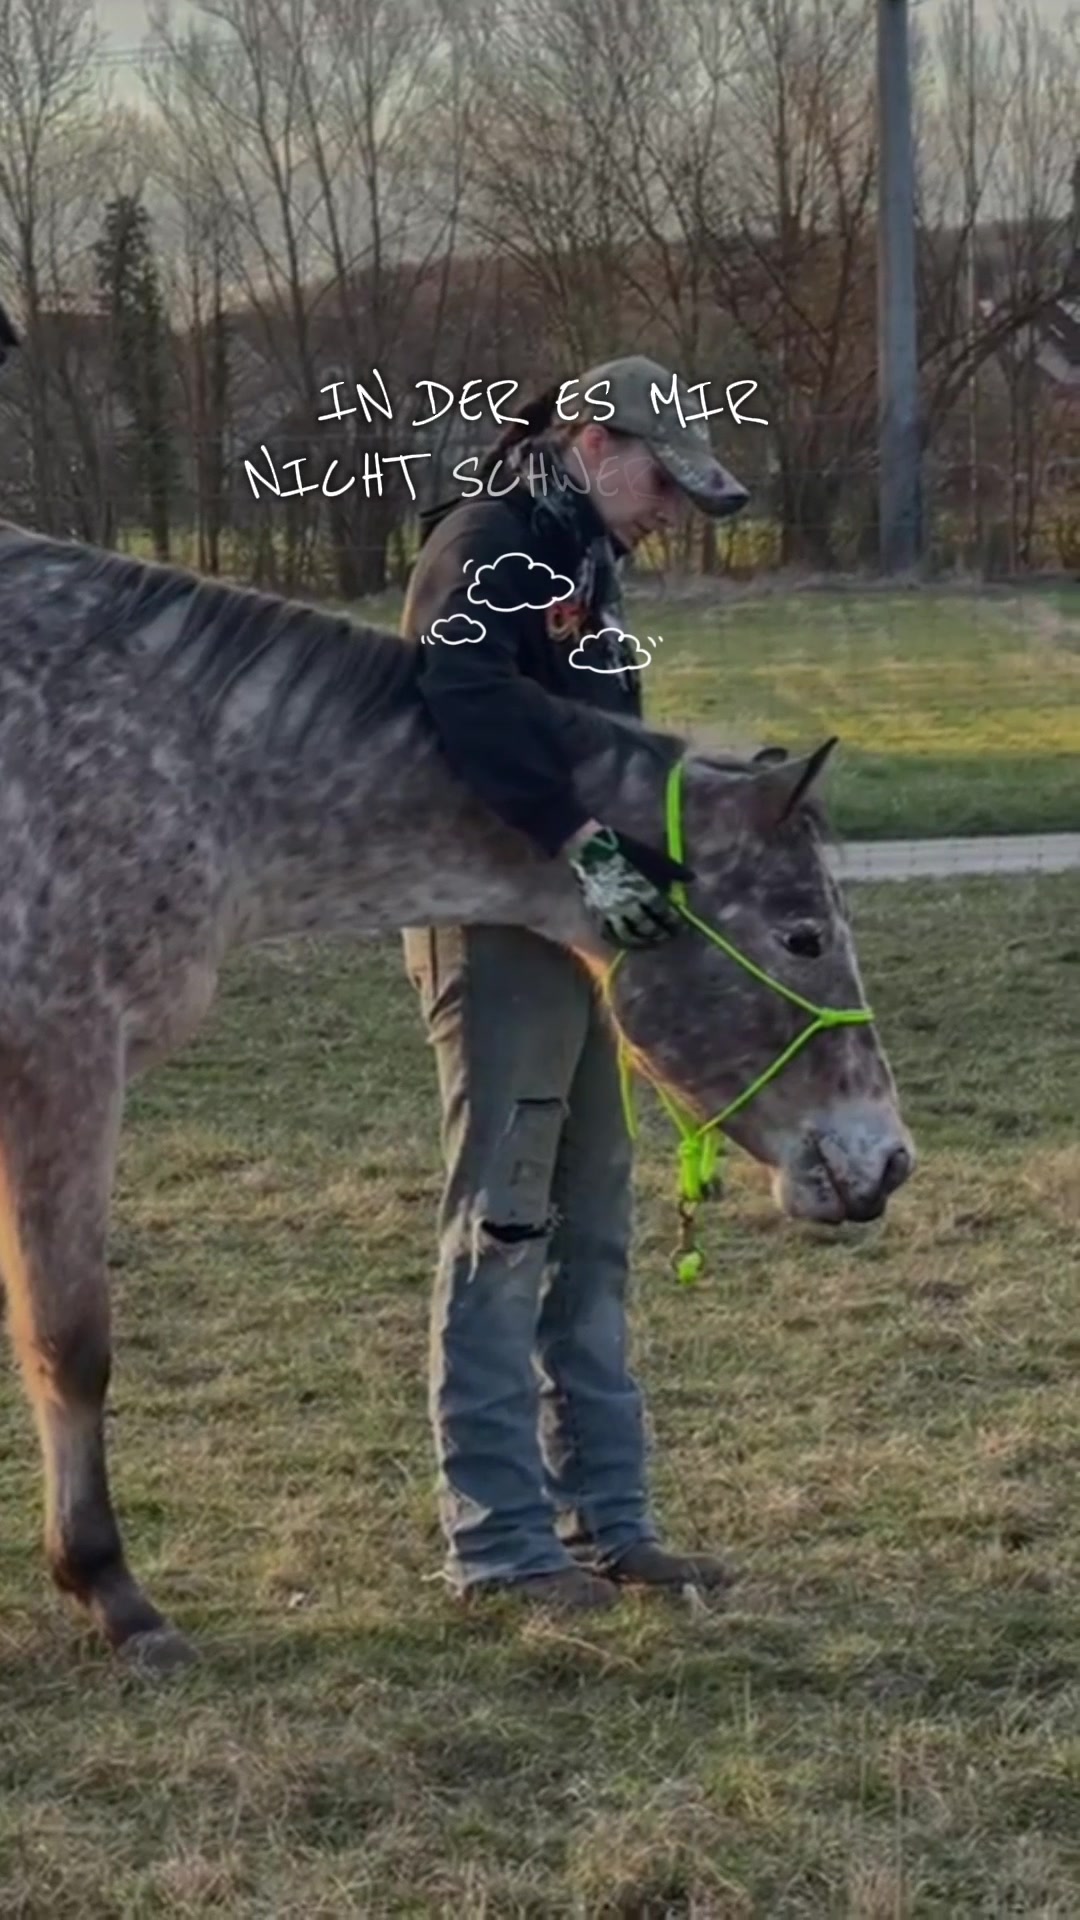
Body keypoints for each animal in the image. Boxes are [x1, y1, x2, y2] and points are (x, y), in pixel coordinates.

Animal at [0, 518, 915, 1673]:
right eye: (801, 935)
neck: (175, 760)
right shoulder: (63, 1056)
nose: (887, 1158)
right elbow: (70, 1342)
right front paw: (112, 1592)